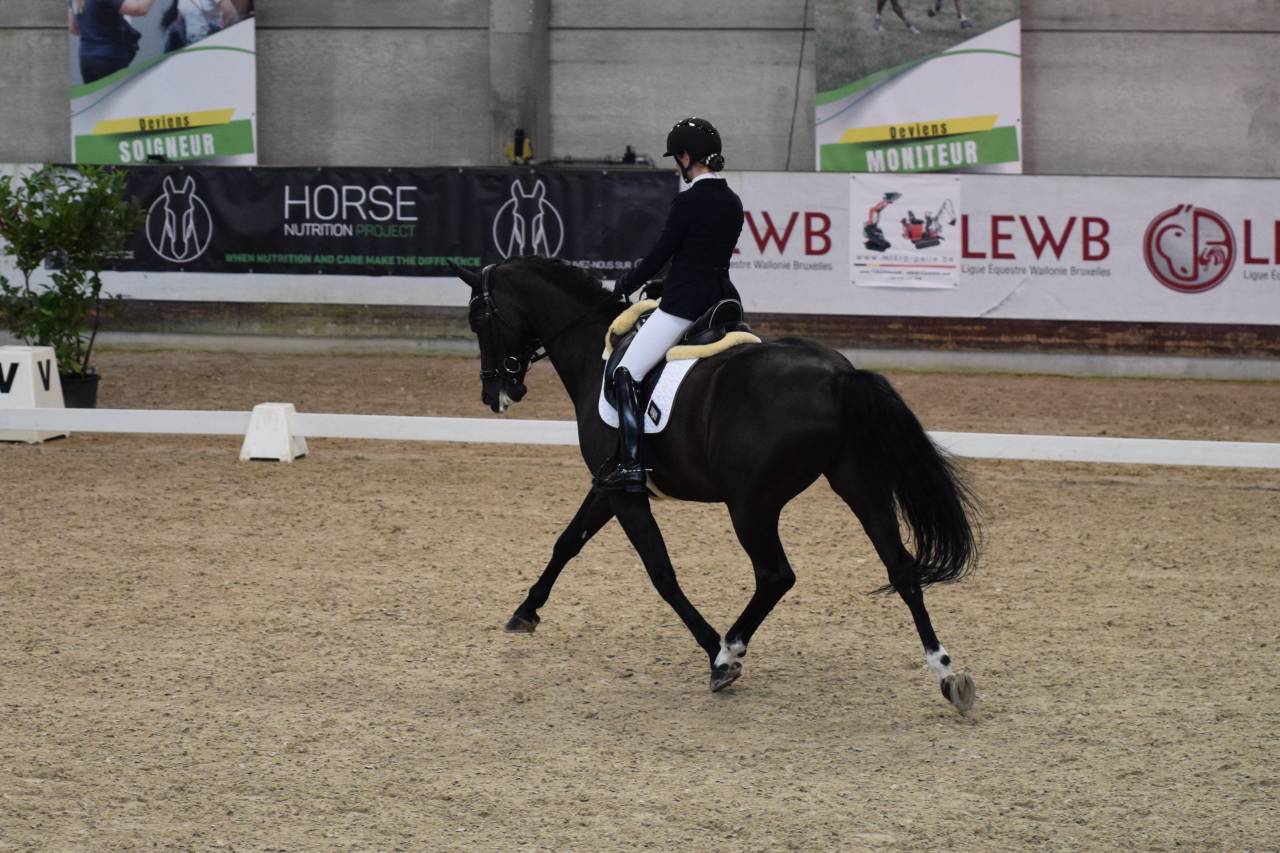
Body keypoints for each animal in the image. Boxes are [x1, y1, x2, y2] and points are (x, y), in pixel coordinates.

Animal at [450, 256, 981, 713]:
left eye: (478, 317)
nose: (494, 394)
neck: (594, 351)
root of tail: (838, 376)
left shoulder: (623, 492)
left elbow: (661, 574)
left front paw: (713, 649)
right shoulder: (609, 485)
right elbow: (567, 542)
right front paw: (525, 611)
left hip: (751, 504)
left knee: (775, 576)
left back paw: (728, 653)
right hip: (858, 483)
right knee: (902, 568)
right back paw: (946, 673)